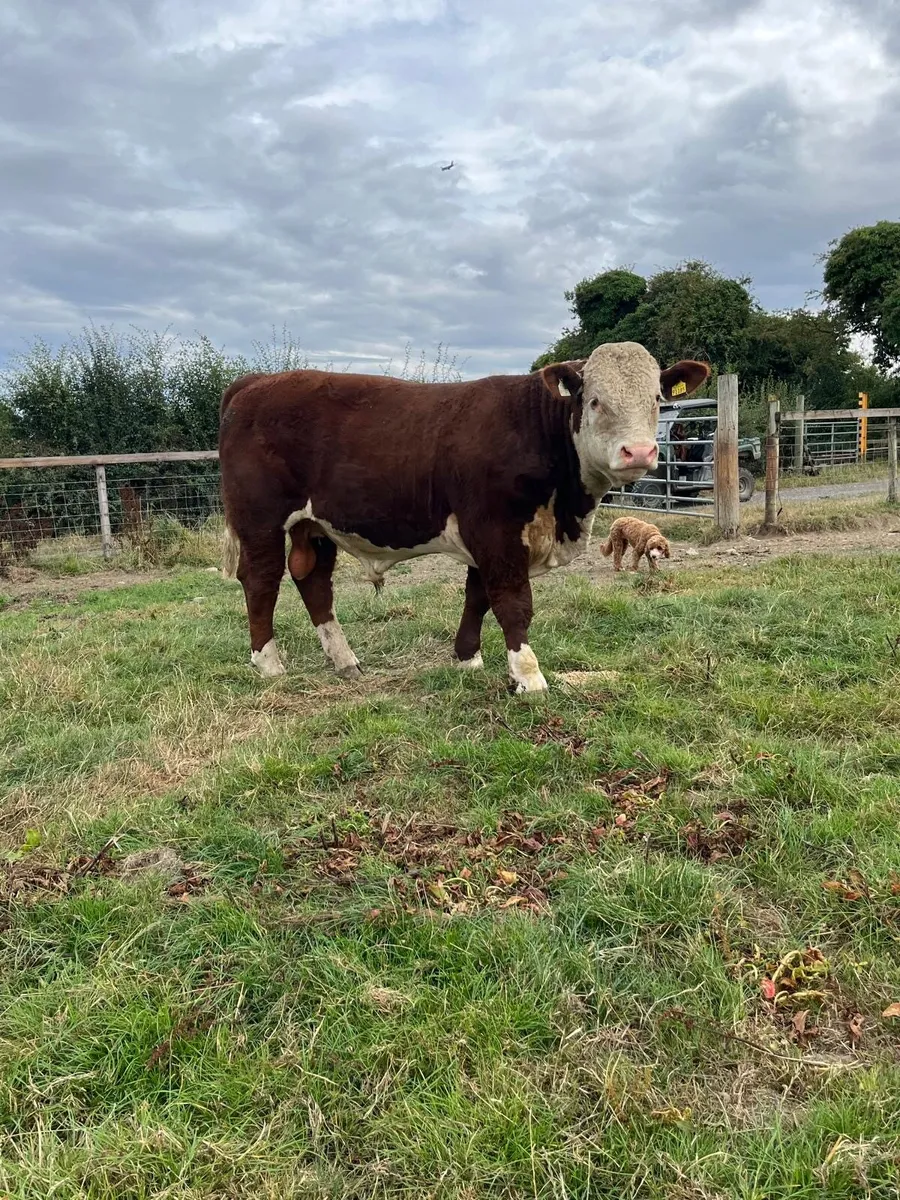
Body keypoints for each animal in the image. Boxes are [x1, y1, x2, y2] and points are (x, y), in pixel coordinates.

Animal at [219, 343, 710, 693]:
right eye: (594, 401)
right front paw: (527, 675)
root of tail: (255, 382)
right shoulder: (496, 529)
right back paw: (269, 663)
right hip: (260, 520)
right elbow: (512, 601)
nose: (640, 452)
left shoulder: (487, 538)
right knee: (261, 580)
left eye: (656, 398)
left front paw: (467, 658)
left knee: (313, 581)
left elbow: (477, 597)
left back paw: (345, 662)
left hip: (314, 526)